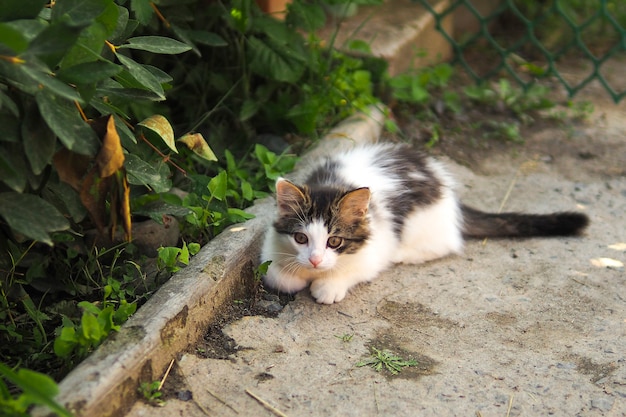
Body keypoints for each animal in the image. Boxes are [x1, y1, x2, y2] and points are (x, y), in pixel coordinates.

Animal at [260, 142, 588, 302]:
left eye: (335, 241)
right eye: (301, 238)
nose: (315, 261)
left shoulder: (375, 246)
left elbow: (354, 270)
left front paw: (328, 285)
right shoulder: (271, 245)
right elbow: (275, 274)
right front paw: (292, 276)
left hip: (424, 223)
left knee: (446, 243)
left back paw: (404, 255)